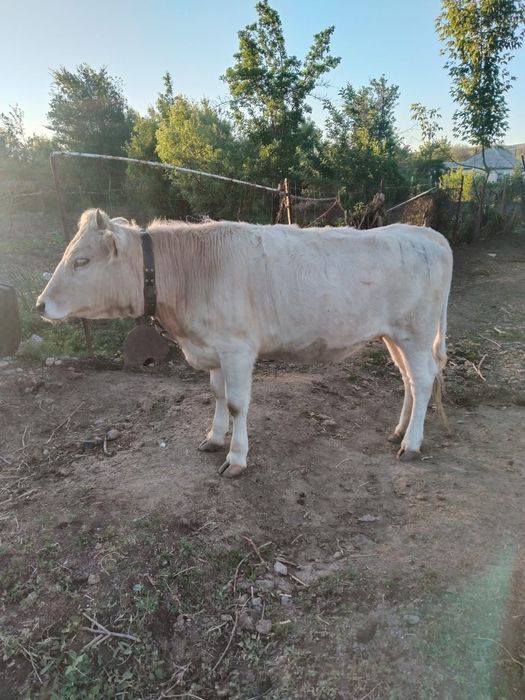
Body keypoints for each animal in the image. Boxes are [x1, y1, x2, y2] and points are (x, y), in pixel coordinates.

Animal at [37, 208, 453, 477]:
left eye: (81, 261)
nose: (41, 304)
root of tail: (425, 233)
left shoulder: (236, 348)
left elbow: (237, 404)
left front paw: (236, 458)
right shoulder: (214, 347)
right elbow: (218, 396)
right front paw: (213, 438)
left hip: (415, 333)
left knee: (423, 379)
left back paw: (411, 444)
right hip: (394, 336)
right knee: (408, 379)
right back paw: (399, 431)